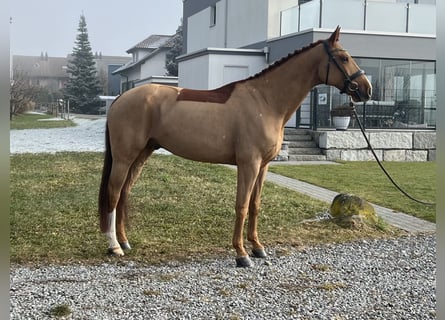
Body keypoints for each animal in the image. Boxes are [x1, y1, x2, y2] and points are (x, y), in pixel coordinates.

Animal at [98, 27, 372, 266]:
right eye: (344, 57)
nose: (366, 90)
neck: (265, 100)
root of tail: (121, 98)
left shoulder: (263, 166)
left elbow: (255, 205)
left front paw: (258, 247)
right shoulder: (248, 164)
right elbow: (241, 205)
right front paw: (241, 254)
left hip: (142, 154)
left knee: (124, 193)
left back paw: (125, 242)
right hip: (124, 157)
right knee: (114, 193)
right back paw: (114, 247)